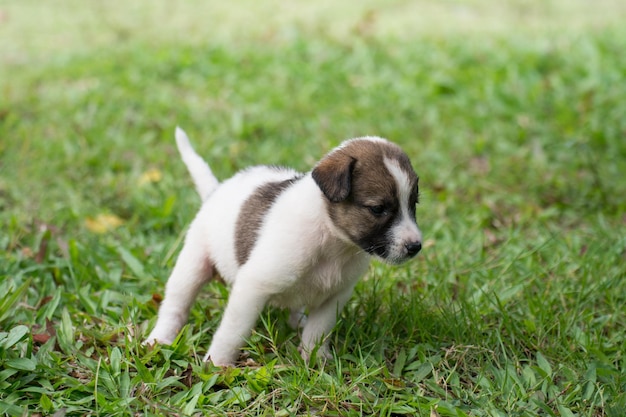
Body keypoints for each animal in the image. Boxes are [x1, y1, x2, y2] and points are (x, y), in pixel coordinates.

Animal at [144, 127, 422, 364]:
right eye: (378, 209)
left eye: (414, 204)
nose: (415, 246)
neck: (331, 240)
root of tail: (216, 191)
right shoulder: (252, 287)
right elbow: (233, 331)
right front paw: (218, 364)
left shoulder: (335, 296)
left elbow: (318, 330)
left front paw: (314, 360)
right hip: (192, 266)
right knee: (176, 305)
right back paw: (160, 338)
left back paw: (298, 321)